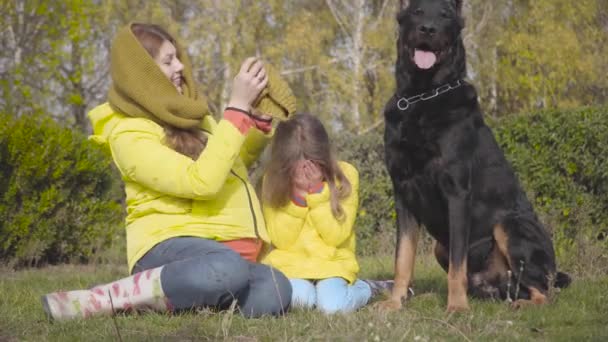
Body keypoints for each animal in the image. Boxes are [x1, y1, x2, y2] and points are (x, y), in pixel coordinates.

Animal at [380, 0, 568, 312]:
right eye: (417, 12)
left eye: (445, 16)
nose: (428, 29)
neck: (423, 95)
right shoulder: (403, 193)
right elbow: (402, 258)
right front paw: (394, 303)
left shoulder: (457, 192)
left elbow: (458, 265)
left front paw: (456, 307)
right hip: (440, 246)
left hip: (508, 227)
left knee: (544, 291)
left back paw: (520, 304)